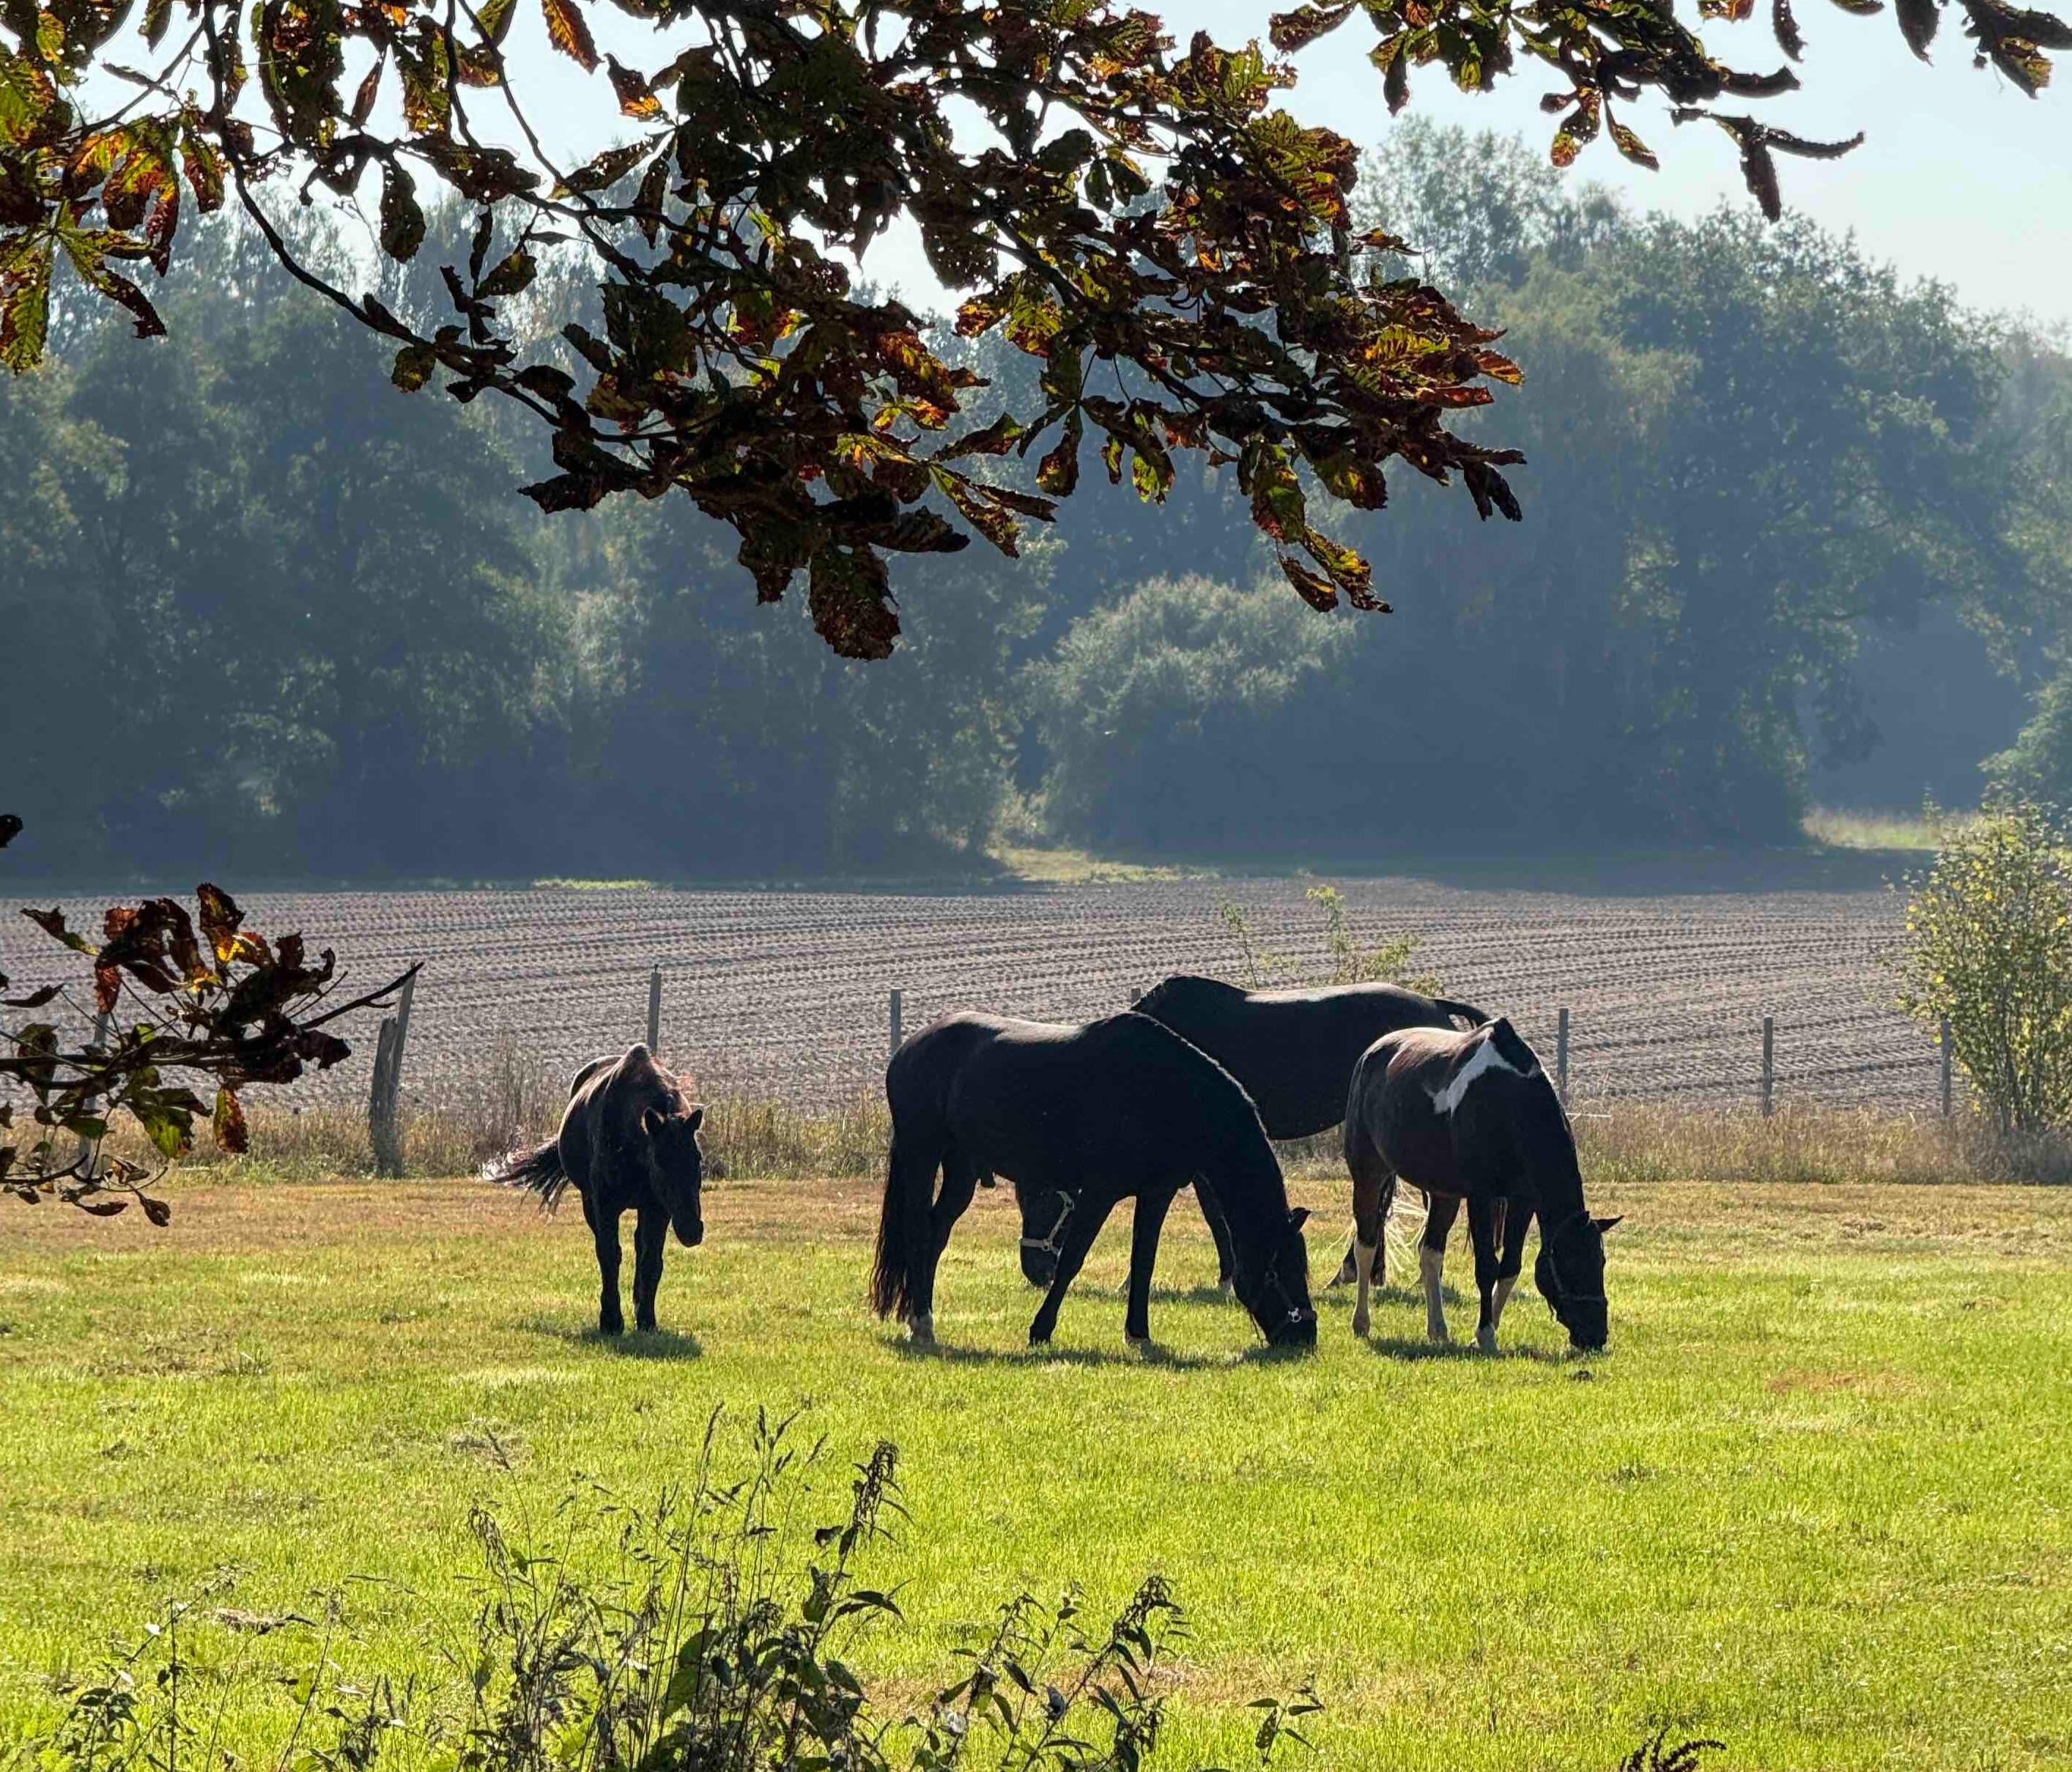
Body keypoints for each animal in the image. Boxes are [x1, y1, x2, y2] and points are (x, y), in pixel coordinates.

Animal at [491, 1044, 706, 1336]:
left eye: (698, 1158)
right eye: (659, 1162)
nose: (692, 1230)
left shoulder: (657, 1208)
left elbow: (650, 1259)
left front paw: (647, 1319)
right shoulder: (604, 1203)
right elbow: (609, 1255)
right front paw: (611, 1320)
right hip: (589, 1202)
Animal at [870, 1011, 1316, 1351]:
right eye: (1279, 1269)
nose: (1306, 1335)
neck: (1165, 1092)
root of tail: (906, 1051)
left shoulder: (1156, 1194)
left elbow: (1144, 1262)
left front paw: (1139, 1335)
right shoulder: (1100, 1192)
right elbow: (1072, 1258)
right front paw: (1041, 1331)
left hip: (961, 1170)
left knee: (936, 1233)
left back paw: (920, 1319)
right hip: (921, 1157)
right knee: (918, 1233)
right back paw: (922, 1322)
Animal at [1014, 976, 1488, 1291]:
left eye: (1044, 1202)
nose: (1036, 1272)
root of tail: (1432, 1005)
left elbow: (1214, 1212)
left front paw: (1225, 1275)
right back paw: (1368, 1274)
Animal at [1341, 1018, 1618, 1352]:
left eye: (1601, 1262)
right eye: (1570, 1265)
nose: (1595, 1335)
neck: (1507, 1102)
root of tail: (1371, 1054)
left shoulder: (1522, 1200)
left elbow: (1510, 1267)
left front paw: (1486, 1330)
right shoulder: (1481, 1197)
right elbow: (1486, 1267)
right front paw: (1486, 1336)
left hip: (1443, 1194)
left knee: (1430, 1254)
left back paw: (1438, 1329)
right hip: (1368, 1176)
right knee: (1366, 1245)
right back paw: (1361, 1323)